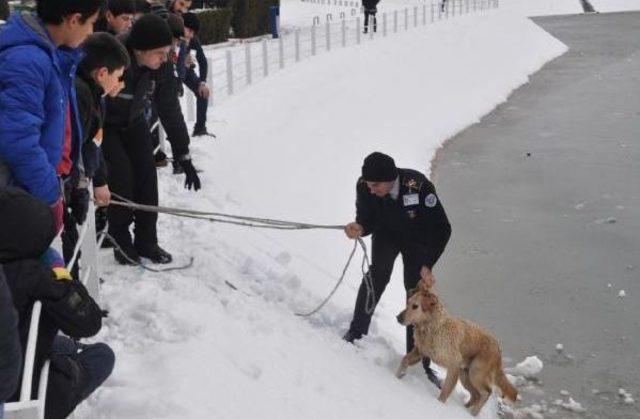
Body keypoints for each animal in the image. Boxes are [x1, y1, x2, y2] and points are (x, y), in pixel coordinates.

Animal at [392, 286, 516, 416]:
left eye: (415, 306)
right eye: (408, 303)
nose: (398, 317)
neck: (433, 326)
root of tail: (498, 347)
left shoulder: (453, 365)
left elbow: (445, 391)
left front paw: (438, 405)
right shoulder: (420, 352)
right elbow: (404, 360)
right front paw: (397, 377)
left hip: (475, 373)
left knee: (486, 393)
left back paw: (473, 413)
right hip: (465, 375)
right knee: (475, 395)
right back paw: (465, 408)